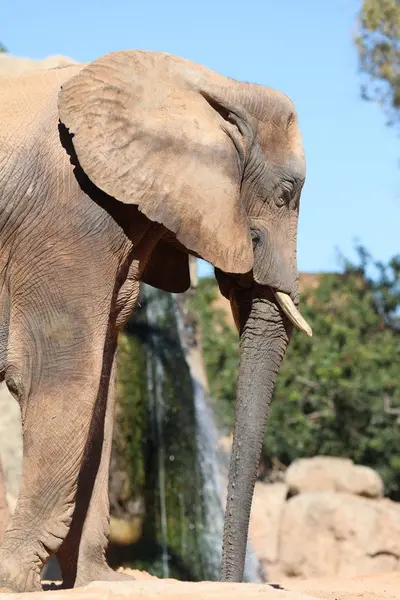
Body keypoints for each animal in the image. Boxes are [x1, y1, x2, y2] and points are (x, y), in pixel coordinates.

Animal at [0, 49, 312, 592]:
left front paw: (101, 582)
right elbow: (56, 375)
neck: (212, 85)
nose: (230, 582)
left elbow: (100, 391)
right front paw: (15, 580)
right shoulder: (68, 211)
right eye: (286, 194)